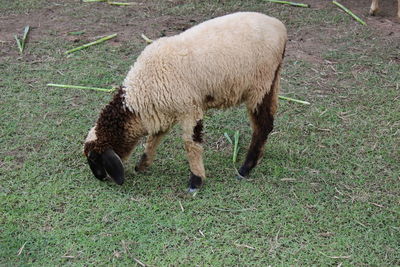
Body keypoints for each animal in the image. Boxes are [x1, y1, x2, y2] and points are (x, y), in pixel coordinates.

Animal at [83, 12, 288, 192]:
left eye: (93, 158)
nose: (99, 178)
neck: (140, 95)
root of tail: (280, 28)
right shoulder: (163, 112)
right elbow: (153, 139)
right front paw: (142, 165)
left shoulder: (190, 109)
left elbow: (191, 145)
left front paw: (196, 181)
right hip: (273, 81)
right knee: (268, 122)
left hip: (259, 85)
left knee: (262, 126)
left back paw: (245, 169)